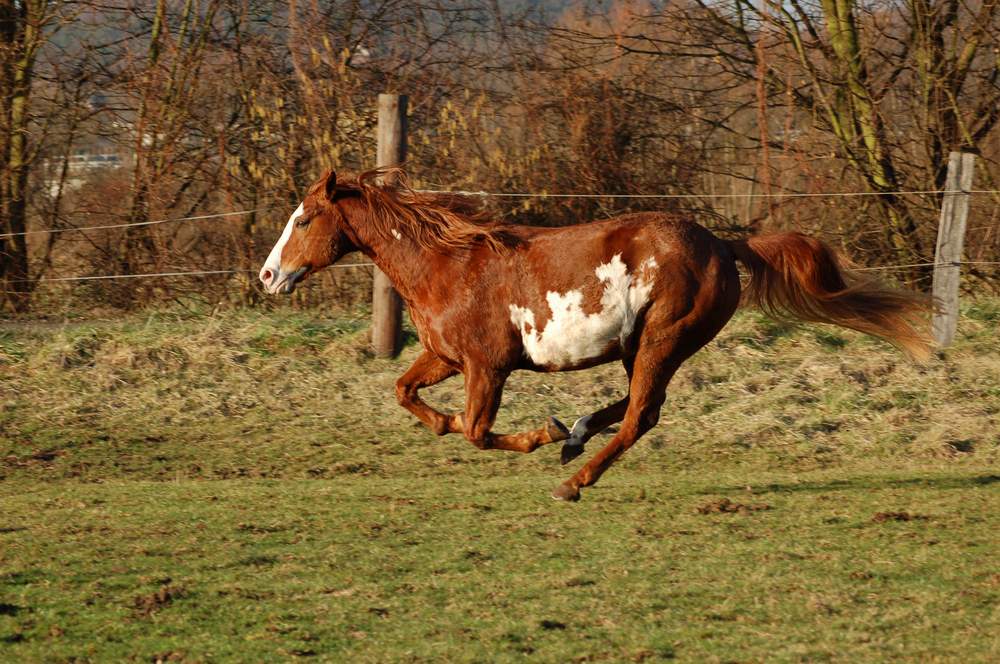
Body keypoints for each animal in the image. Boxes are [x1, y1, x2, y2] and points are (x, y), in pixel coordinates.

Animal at [260, 169, 928, 500]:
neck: (449, 264)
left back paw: (573, 479)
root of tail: (722, 243)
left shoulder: (487, 367)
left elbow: (476, 431)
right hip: (642, 347)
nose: (268, 275)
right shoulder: (445, 357)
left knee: (639, 416)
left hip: (663, 340)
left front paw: (540, 435)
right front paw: (551, 430)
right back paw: (576, 436)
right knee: (637, 408)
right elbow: (407, 395)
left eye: (304, 218)